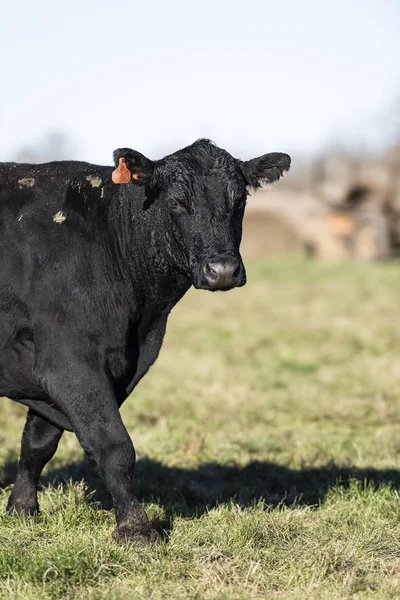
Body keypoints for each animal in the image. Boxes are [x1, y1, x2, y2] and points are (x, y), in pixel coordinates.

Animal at [0, 139, 290, 544]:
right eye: (176, 201)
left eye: (240, 201)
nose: (223, 271)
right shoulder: (69, 363)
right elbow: (114, 446)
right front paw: (135, 528)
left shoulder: (53, 365)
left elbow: (37, 444)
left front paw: (22, 509)